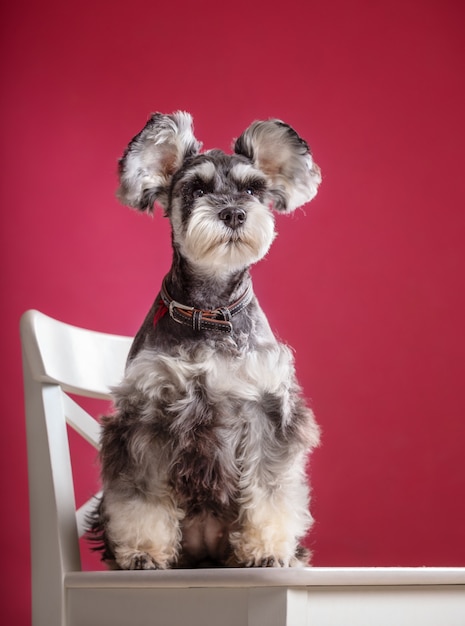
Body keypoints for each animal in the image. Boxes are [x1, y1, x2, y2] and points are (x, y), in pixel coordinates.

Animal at [90, 109, 322, 568]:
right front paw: (143, 552)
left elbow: (271, 487)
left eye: (252, 189)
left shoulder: (268, 412)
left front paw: (267, 550)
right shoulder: (145, 416)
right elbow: (141, 494)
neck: (210, 312)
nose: (233, 214)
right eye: (196, 188)